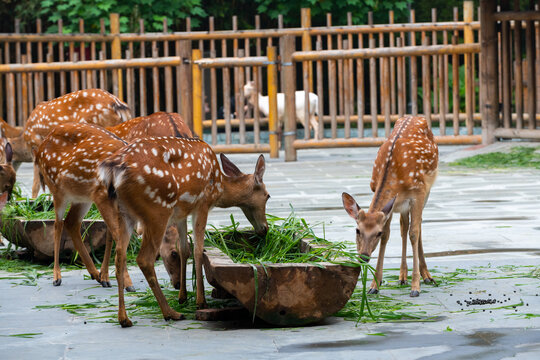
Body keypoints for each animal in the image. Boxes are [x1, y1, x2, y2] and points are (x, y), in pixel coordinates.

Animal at [98, 137, 268, 326]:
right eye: (267, 196)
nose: (265, 229)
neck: (219, 186)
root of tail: (114, 169)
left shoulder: (181, 213)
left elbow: (184, 250)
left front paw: (183, 297)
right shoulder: (202, 204)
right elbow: (198, 250)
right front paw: (200, 301)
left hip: (124, 212)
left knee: (120, 255)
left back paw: (124, 318)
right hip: (157, 209)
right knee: (144, 259)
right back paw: (170, 313)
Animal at [342, 116, 438, 296]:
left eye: (377, 233)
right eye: (357, 230)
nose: (364, 256)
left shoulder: (418, 193)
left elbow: (413, 233)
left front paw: (415, 287)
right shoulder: (390, 203)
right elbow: (389, 235)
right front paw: (374, 285)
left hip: (427, 190)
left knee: (417, 226)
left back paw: (427, 276)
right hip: (402, 205)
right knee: (404, 226)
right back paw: (402, 276)